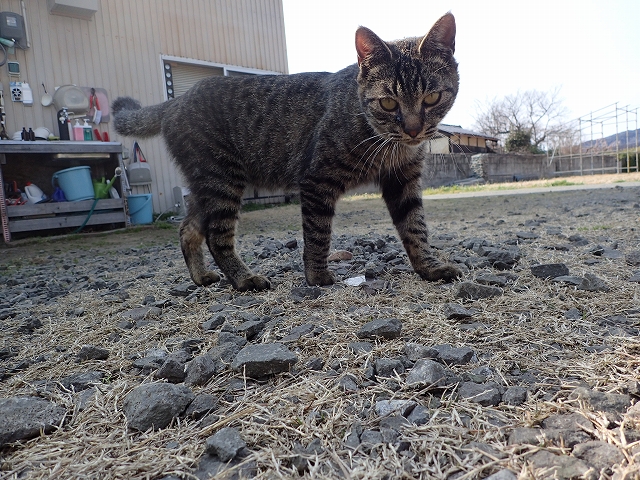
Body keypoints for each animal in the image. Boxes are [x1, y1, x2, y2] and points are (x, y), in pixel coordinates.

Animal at [112, 12, 462, 292]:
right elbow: (318, 234)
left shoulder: (403, 180)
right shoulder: (317, 180)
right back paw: (244, 279)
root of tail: (175, 101)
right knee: (216, 236)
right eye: (389, 102)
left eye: (431, 98)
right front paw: (317, 277)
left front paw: (428, 267)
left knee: (188, 229)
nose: (413, 129)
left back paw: (201, 277)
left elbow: (415, 227)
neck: (384, 140)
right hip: (222, 180)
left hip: (207, 186)